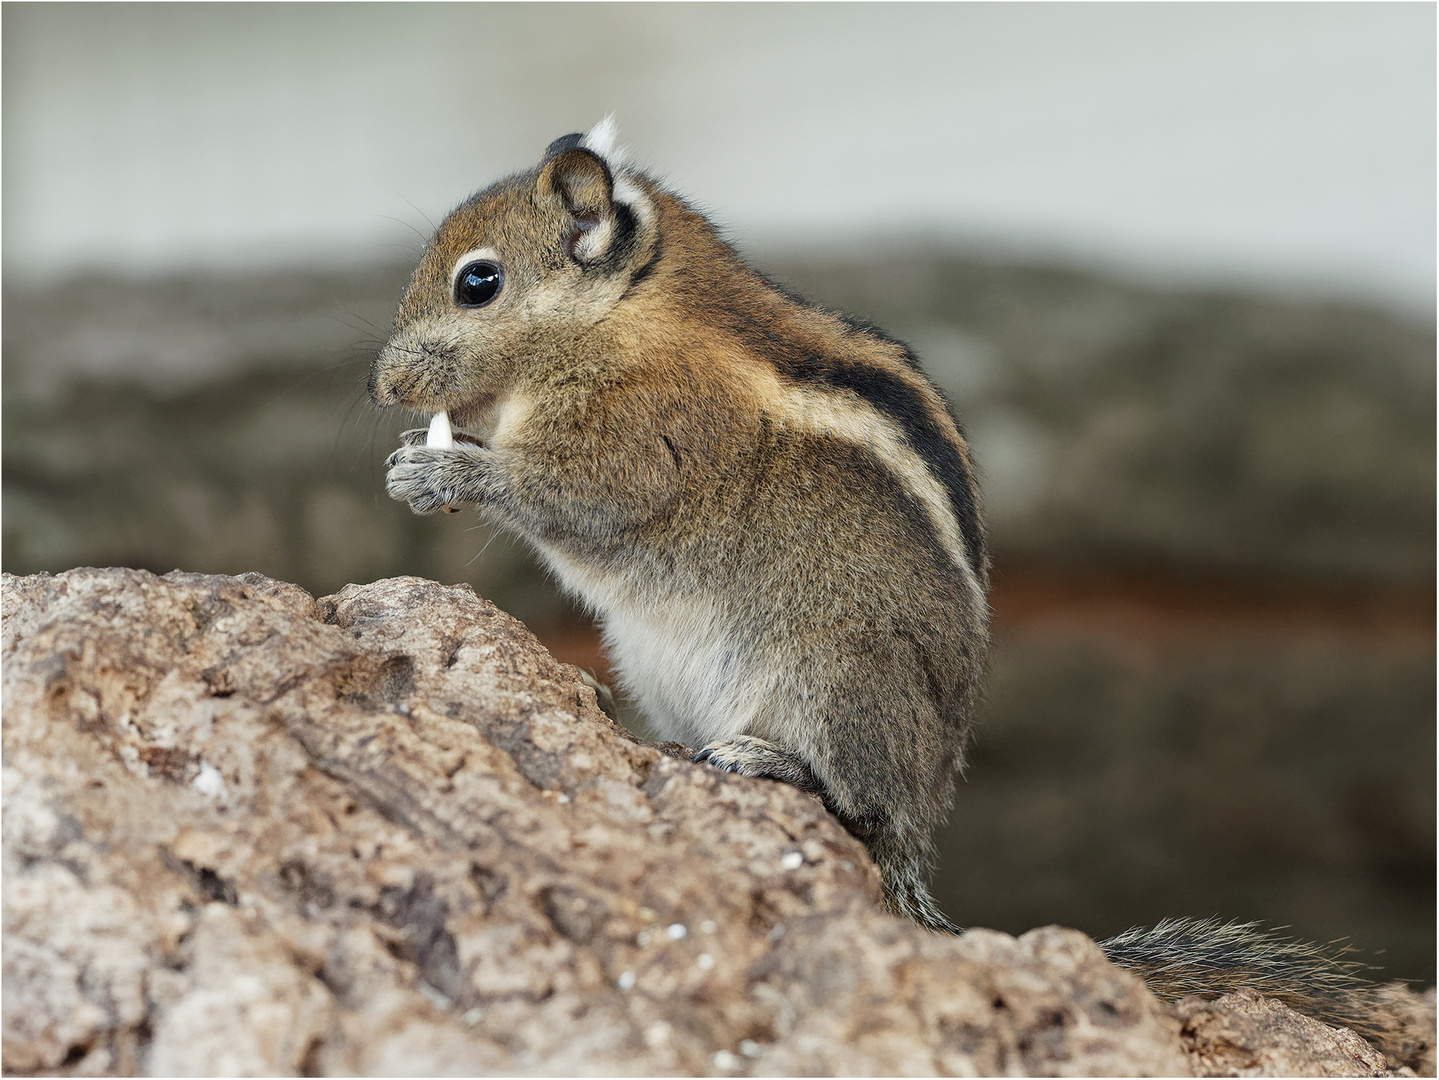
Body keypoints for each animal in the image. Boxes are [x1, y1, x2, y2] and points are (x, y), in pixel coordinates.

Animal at [374, 120, 1415, 1058]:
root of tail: (923, 832)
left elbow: (572, 499)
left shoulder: (642, 432)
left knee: (859, 812)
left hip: (836, 674)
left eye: (478, 282)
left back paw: (772, 765)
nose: (383, 386)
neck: (623, 311)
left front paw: (444, 470)